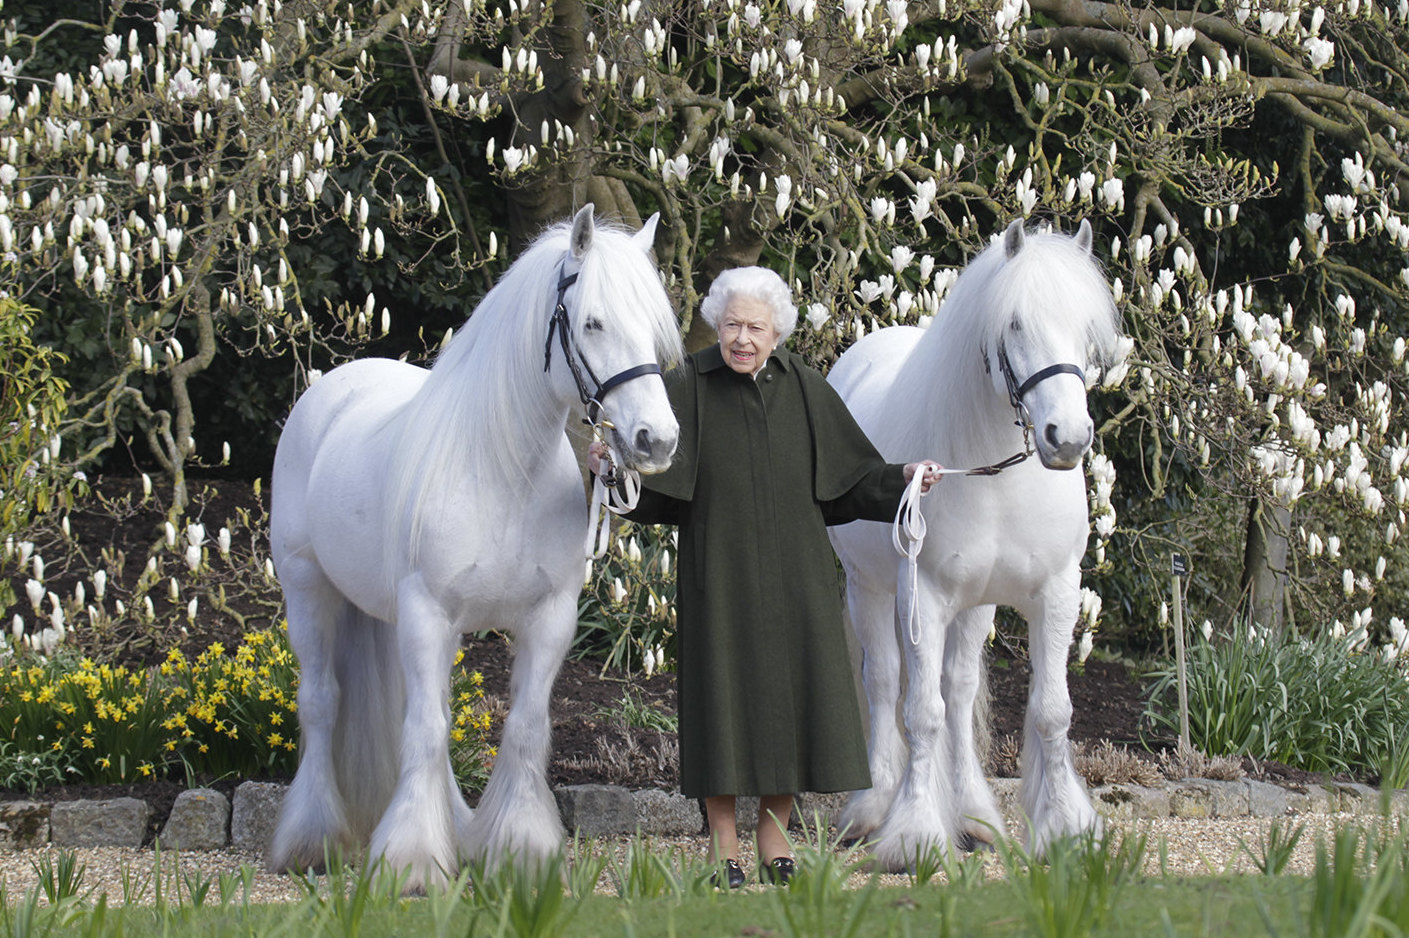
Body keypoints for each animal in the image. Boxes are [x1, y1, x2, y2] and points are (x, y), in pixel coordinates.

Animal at [266, 204, 684, 884]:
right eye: (593, 322)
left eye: (652, 328)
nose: (658, 440)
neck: (502, 471)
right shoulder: (428, 613)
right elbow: (426, 731)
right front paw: (411, 860)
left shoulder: (548, 619)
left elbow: (523, 728)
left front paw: (520, 848)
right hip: (309, 592)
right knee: (323, 703)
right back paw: (313, 839)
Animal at [828, 215, 1115, 867]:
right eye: (1014, 323)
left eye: (1086, 328)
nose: (1068, 437)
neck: (995, 475)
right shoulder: (924, 598)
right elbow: (920, 713)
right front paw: (913, 835)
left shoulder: (1056, 594)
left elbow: (1050, 711)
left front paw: (1064, 827)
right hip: (870, 590)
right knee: (884, 682)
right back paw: (872, 808)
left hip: (976, 605)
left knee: (958, 692)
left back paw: (974, 816)